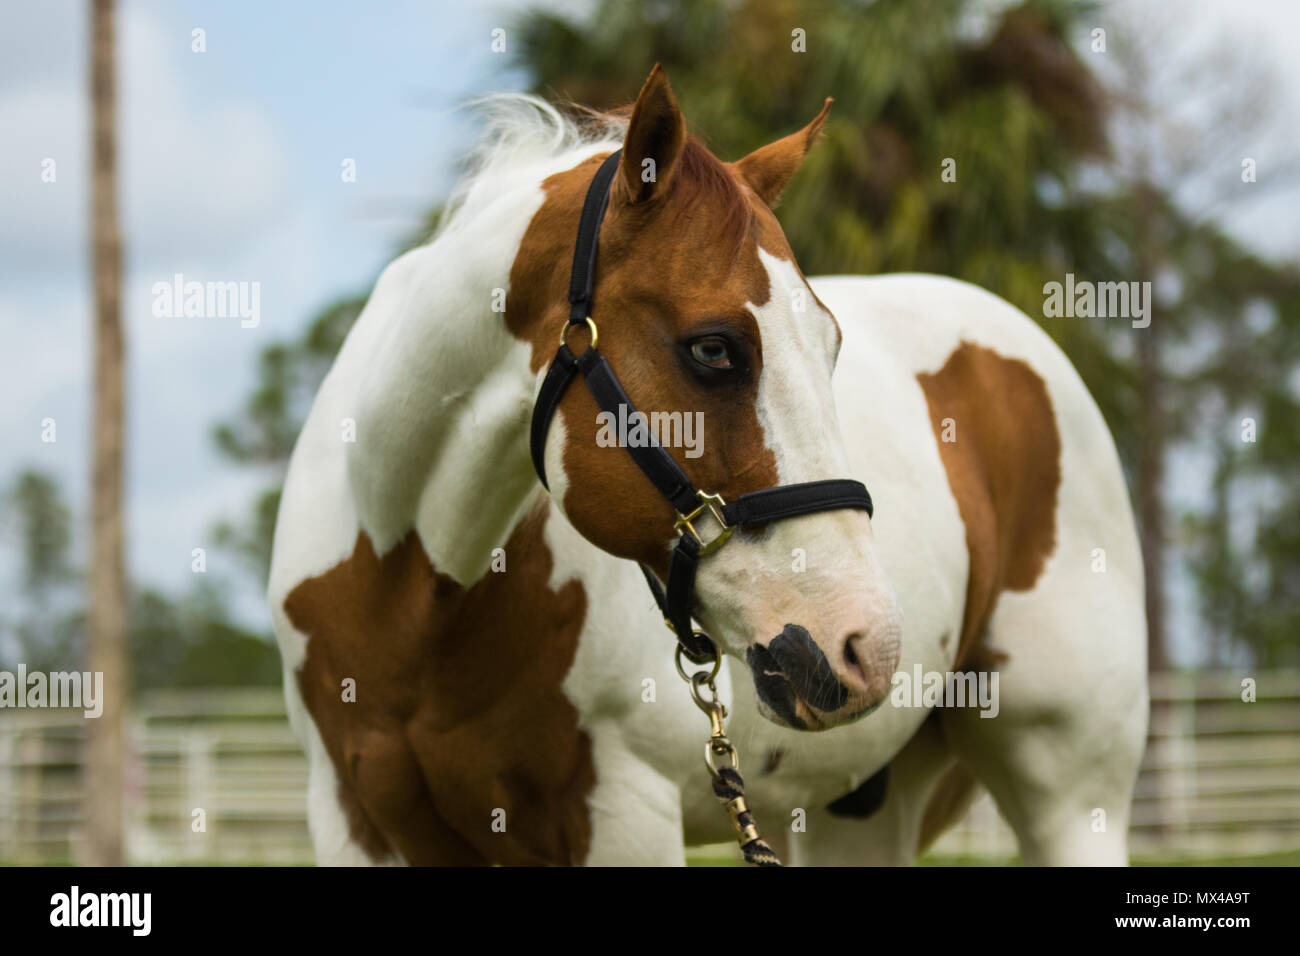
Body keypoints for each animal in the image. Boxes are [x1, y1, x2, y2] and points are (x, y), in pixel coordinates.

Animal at [267, 65, 1149, 866]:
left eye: (830, 343)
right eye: (714, 349)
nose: (865, 647)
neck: (416, 594)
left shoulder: (625, 813)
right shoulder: (351, 820)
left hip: (1073, 795)